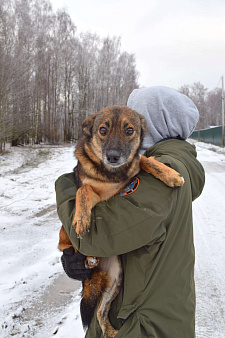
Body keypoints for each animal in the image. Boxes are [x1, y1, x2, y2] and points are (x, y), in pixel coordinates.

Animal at [57, 104, 183, 336]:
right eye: (103, 130)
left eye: (129, 130)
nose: (113, 157)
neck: (112, 175)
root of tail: (96, 269)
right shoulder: (94, 194)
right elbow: (83, 190)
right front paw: (81, 218)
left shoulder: (132, 170)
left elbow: (143, 159)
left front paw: (169, 174)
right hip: (72, 244)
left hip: (115, 281)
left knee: (100, 311)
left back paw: (111, 331)